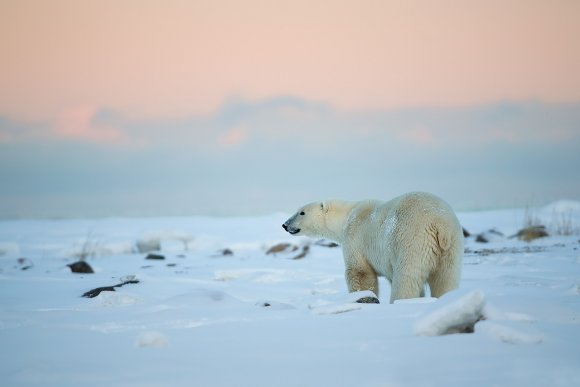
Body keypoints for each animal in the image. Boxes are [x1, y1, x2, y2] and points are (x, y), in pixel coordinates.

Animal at [280, 192, 462, 304]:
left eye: (301, 212)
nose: (285, 224)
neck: (346, 216)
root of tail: (440, 223)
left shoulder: (355, 238)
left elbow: (360, 273)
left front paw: (362, 297)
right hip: (451, 247)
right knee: (446, 279)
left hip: (411, 241)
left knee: (406, 277)